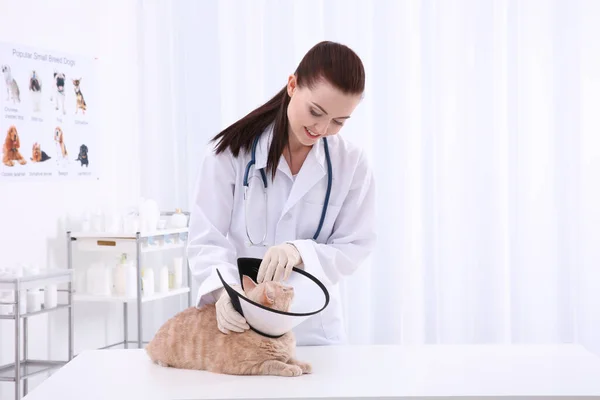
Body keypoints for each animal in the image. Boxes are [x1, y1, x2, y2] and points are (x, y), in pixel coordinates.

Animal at [147, 276, 312, 376]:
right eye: (283, 289)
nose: (292, 288)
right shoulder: (249, 366)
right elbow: (274, 363)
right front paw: (291, 368)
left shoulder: (286, 355)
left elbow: (290, 358)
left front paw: (302, 364)